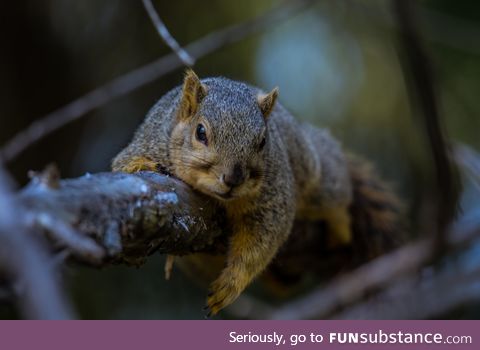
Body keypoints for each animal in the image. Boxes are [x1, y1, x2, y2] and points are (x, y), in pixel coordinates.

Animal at [112, 69, 402, 316]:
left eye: (263, 142)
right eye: (200, 132)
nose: (233, 179)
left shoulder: (274, 193)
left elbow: (263, 236)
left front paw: (231, 284)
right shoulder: (149, 142)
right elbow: (123, 165)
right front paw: (144, 165)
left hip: (313, 172)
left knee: (336, 188)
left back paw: (339, 222)